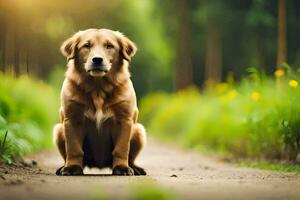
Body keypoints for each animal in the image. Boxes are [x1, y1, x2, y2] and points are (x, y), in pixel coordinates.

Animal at [54, 28, 148, 176]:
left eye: (109, 46)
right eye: (86, 46)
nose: (97, 60)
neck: (97, 88)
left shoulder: (124, 120)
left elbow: (121, 149)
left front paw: (121, 168)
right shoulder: (72, 120)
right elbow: (74, 148)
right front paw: (72, 167)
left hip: (138, 130)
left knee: (131, 158)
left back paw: (135, 168)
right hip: (58, 130)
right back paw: (63, 166)